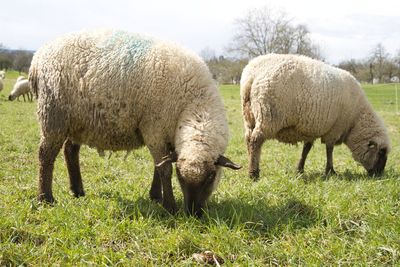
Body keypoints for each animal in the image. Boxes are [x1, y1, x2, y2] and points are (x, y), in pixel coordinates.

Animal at [29, 29, 241, 218]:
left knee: (70, 151)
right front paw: (170, 206)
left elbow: (160, 165)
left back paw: (77, 191)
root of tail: (38, 57)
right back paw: (45, 198)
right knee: (45, 156)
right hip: (53, 115)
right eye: (180, 176)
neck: (193, 105)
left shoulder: (165, 135)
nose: (193, 214)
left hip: (77, 121)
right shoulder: (155, 130)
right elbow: (164, 169)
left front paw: (155, 197)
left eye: (212, 176)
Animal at [241, 54, 390, 180]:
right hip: (268, 115)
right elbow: (329, 150)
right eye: (381, 152)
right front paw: (330, 171)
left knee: (248, 139)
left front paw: (300, 170)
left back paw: (250, 165)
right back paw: (253, 173)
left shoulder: (310, 128)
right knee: (256, 140)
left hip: (249, 116)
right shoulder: (335, 128)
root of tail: (252, 75)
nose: (379, 175)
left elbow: (306, 150)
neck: (355, 120)